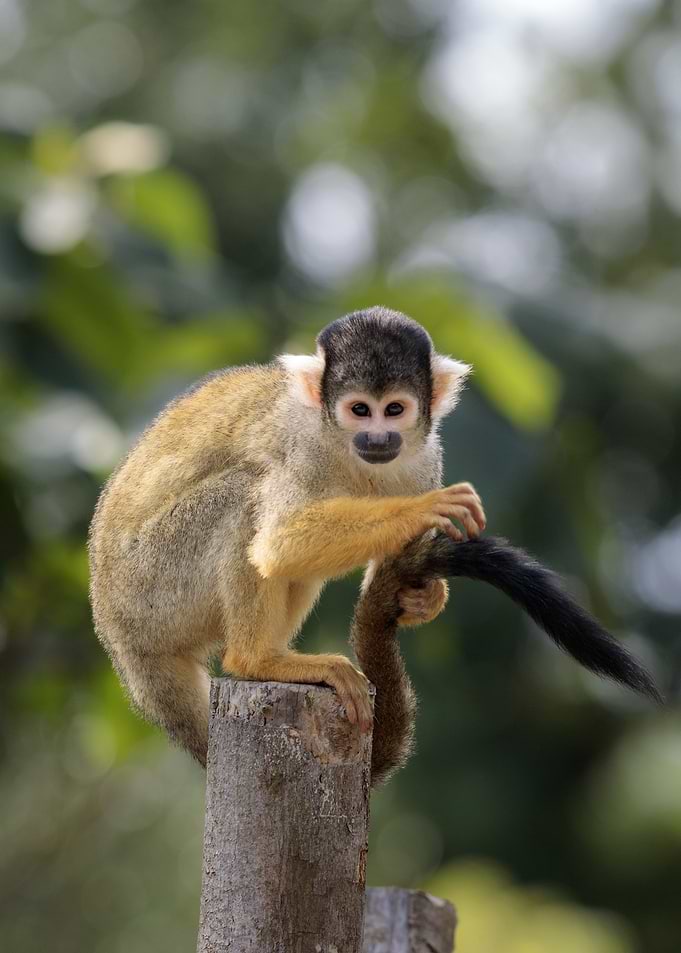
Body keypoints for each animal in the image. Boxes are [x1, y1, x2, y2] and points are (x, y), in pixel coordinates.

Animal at [88, 306, 485, 767]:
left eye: (394, 409)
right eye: (360, 410)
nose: (377, 437)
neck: (345, 450)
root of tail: (119, 641)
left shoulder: (425, 458)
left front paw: (424, 597)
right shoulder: (302, 446)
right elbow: (278, 544)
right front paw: (427, 508)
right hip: (149, 593)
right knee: (244, 496)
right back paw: (256, 660)